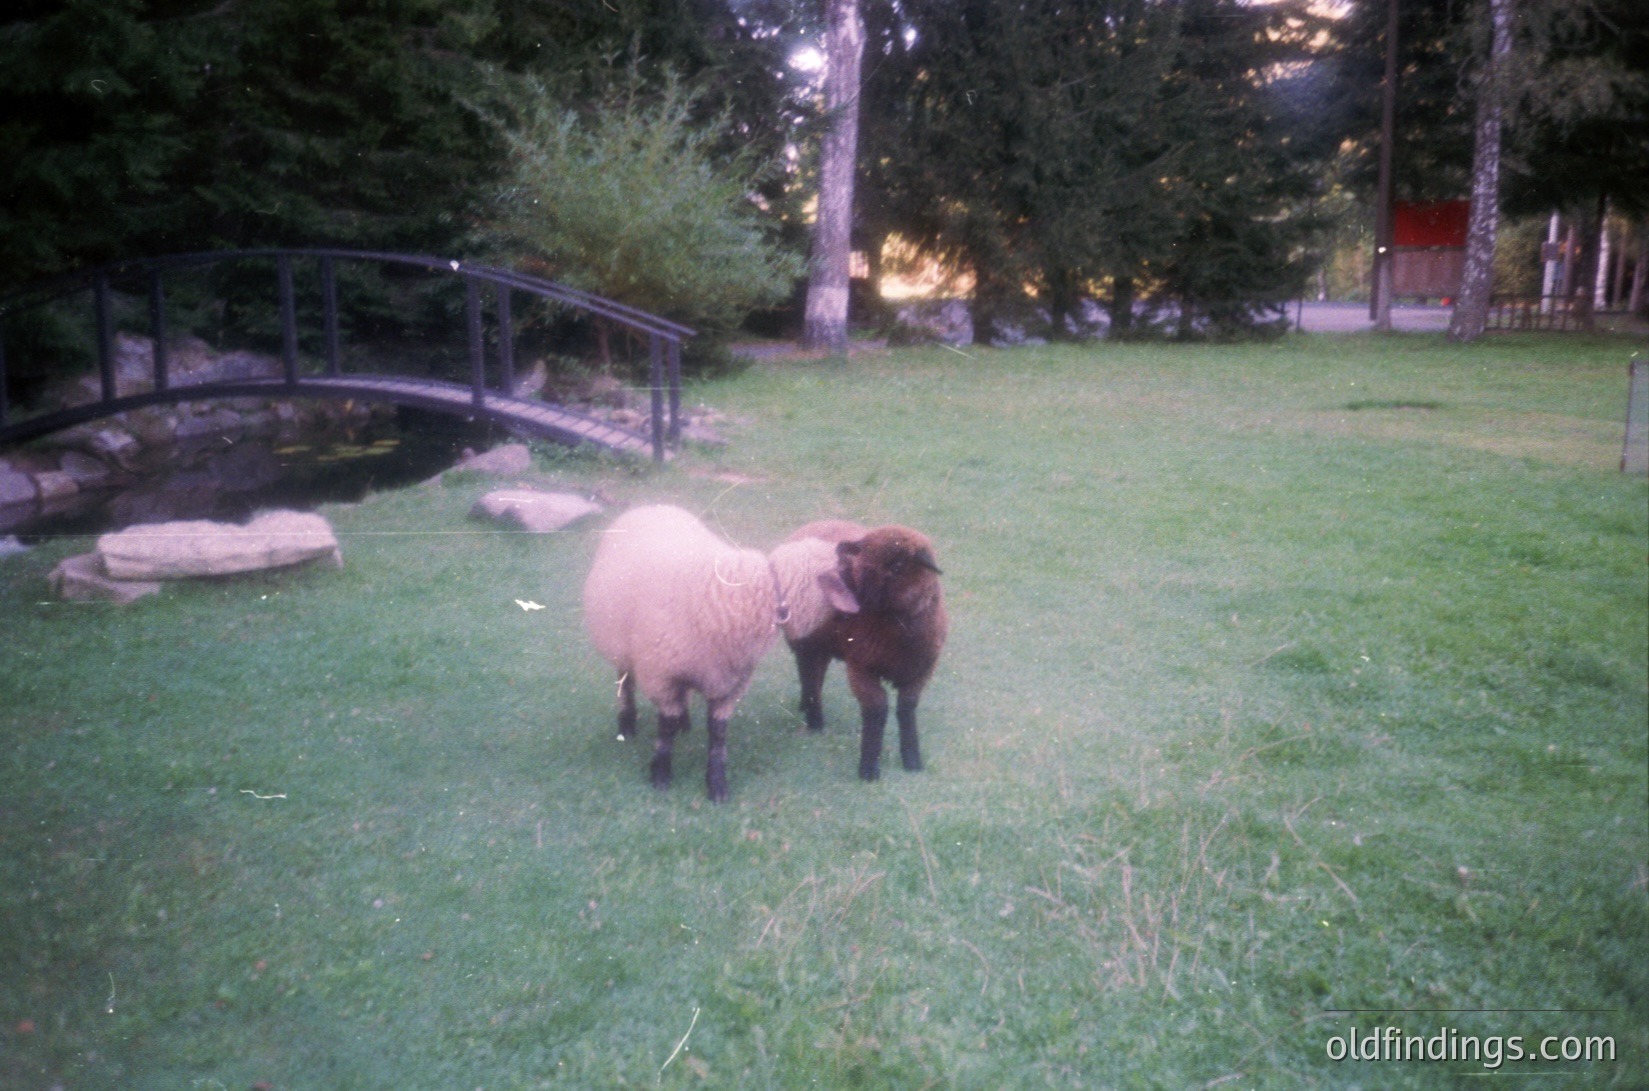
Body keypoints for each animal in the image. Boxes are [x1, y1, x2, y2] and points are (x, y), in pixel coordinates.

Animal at [582, 504, 859, 802]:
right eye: (847, 572)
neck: (759, 592)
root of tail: (651, 506)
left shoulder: (729, 683)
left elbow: (717, 735)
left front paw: (716, 784)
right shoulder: (661, 677)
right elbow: (665, 729)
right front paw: (661, 775)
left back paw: (684, 722)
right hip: (622, 646)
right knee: (625, 683)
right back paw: (626, 724)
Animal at [784, 520, 949, 782]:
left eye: (898, 565)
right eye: (861, 560)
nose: (847, 599)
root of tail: (813, 524)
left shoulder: (921, 671)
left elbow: (907, 709)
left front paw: (912, 760)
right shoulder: (862, 666)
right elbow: (877, 710)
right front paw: (869, 768)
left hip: (824, 644)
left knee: (816, 676)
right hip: (806, 640)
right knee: (808, 673)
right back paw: (815, 720)